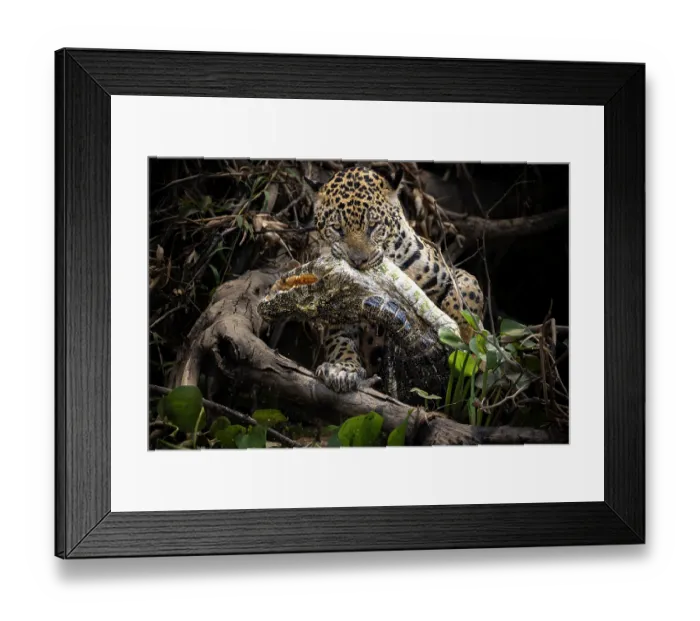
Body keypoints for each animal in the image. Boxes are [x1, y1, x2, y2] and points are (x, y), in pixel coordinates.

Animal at [311, 165, 485, 393]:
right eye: (337, 228)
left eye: (373, 225)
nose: (358, 261)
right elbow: (339, 341)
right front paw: (343, 369)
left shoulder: (447, 274)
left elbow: (463, 298)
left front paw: (462, 343)